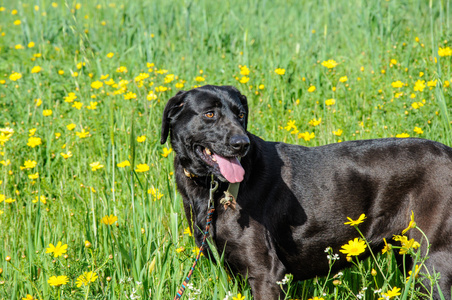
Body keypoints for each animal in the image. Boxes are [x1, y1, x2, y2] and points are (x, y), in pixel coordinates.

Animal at [161, 85, 450, 300]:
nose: (241, 143)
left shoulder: (266, 274)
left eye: (241, 114)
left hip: (431, 261)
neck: (212, 189)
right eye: (209, 114)